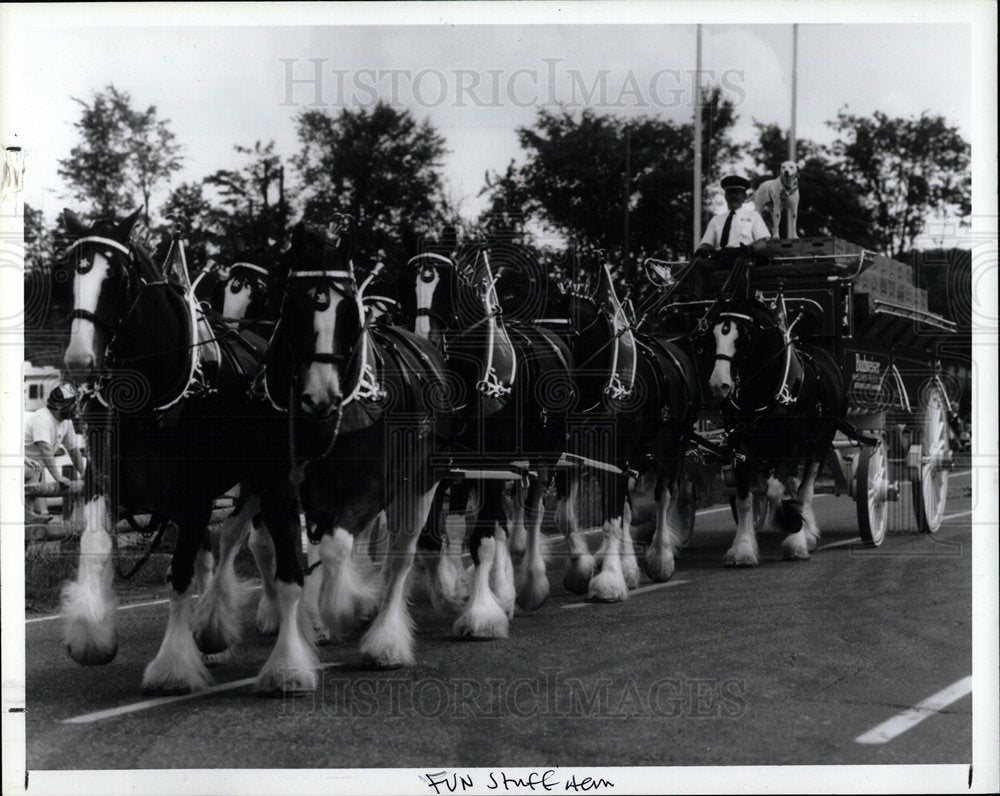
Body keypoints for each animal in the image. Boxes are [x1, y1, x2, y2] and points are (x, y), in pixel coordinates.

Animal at [60, 207, 268, 692]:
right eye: (69, 272)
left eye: (117, 278)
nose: (79, 362)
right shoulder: (104, 478)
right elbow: (94, 542)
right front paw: (91, 635)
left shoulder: (192, 494)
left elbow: (179, 573)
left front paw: (174, 665)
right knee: (220, 543)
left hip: (262, 477)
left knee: (240, 538)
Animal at [254, 222, 460, 684]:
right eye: (294, 305)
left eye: (349, 311)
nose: (320, 396)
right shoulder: (278, 489)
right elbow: (290, 573)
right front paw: (289, 662)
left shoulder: (374, 486)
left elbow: (337, 549)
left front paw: (345, 606)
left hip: (423, 482)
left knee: (401, 558)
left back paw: (385, 641)